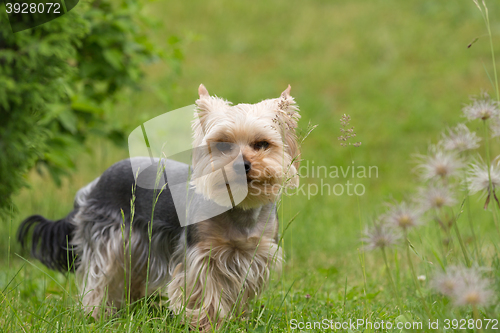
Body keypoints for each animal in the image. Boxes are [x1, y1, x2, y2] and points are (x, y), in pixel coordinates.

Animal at [17, 83, 300, 330]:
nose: (242, 165)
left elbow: (241, 290)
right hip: (111, 239)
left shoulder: (255, 255)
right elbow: (205, 293)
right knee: (99, 278)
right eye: (222, 144)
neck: (239, 209)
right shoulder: (201, 256)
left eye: (262, 144)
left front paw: (238, 320)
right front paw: (207, 325)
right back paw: (97, 315)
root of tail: (94, 184)